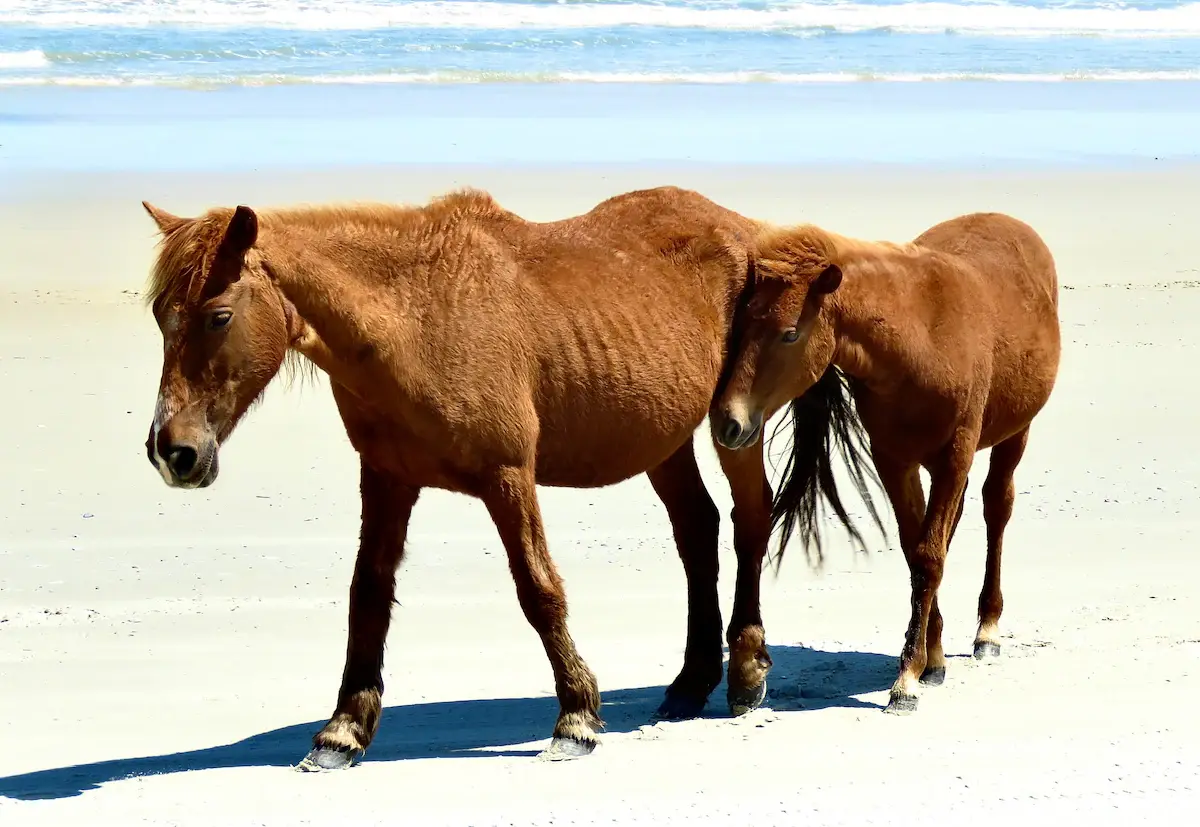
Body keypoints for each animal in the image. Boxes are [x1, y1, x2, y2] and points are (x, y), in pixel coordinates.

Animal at [138, 186, 782, 771]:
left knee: (750, 519)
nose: (173, 453)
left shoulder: (508, 478)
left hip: (734, 426)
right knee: (697, 530)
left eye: (219, 317)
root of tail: (744, 229)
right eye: (160, 317)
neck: (415, 320)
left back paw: (747, 672)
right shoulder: (387, 480)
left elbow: (538, 591)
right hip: (663, 441)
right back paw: (691, 682)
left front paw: (576, 717)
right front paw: (343, 730)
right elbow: (367, 594)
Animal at [710, 212, 1061, 714]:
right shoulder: (895, 460)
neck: (919, 336)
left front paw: (906, 680)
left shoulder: (954, 454)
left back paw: (988, 630)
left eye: (789, 333)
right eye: (739, 328)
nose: (728, 421)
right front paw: (929, 660)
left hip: (1015, 433)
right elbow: (918, 552)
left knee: (997, 508)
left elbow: (930, 557)